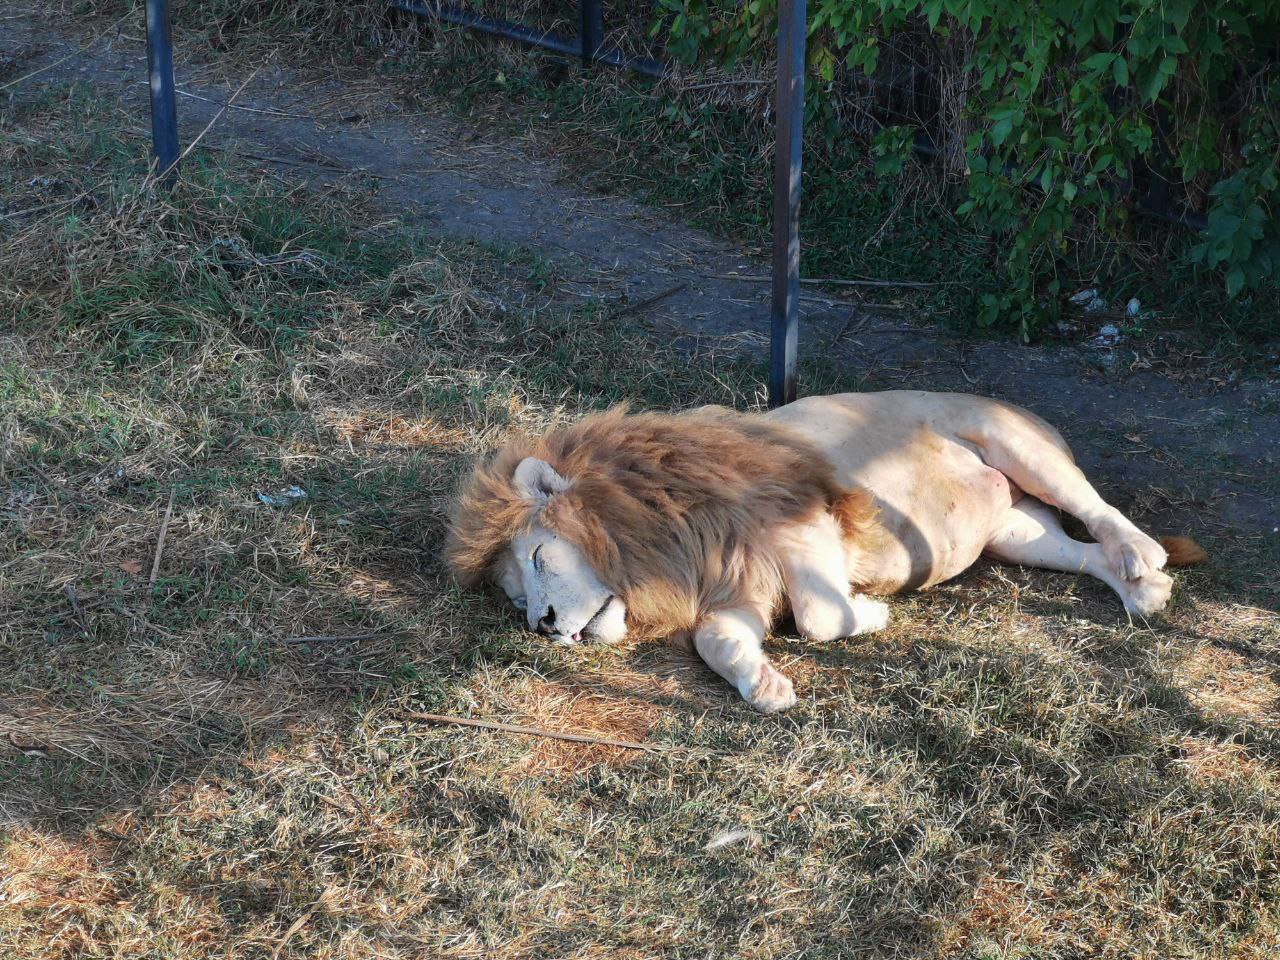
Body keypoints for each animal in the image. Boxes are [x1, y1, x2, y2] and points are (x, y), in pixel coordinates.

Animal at [445, 391, 1203, 716]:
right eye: (515, 601)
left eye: (540, 560)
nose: (542, 625)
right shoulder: (738, 588)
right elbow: (718, 642)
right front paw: (766, 687)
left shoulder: (798, 521)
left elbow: (819, 616)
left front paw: (872, 613)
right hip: (1013, 534)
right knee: (1083, 551)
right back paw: (1143, 591)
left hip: (1015, 444)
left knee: (1098, 508)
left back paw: (1144, 557)